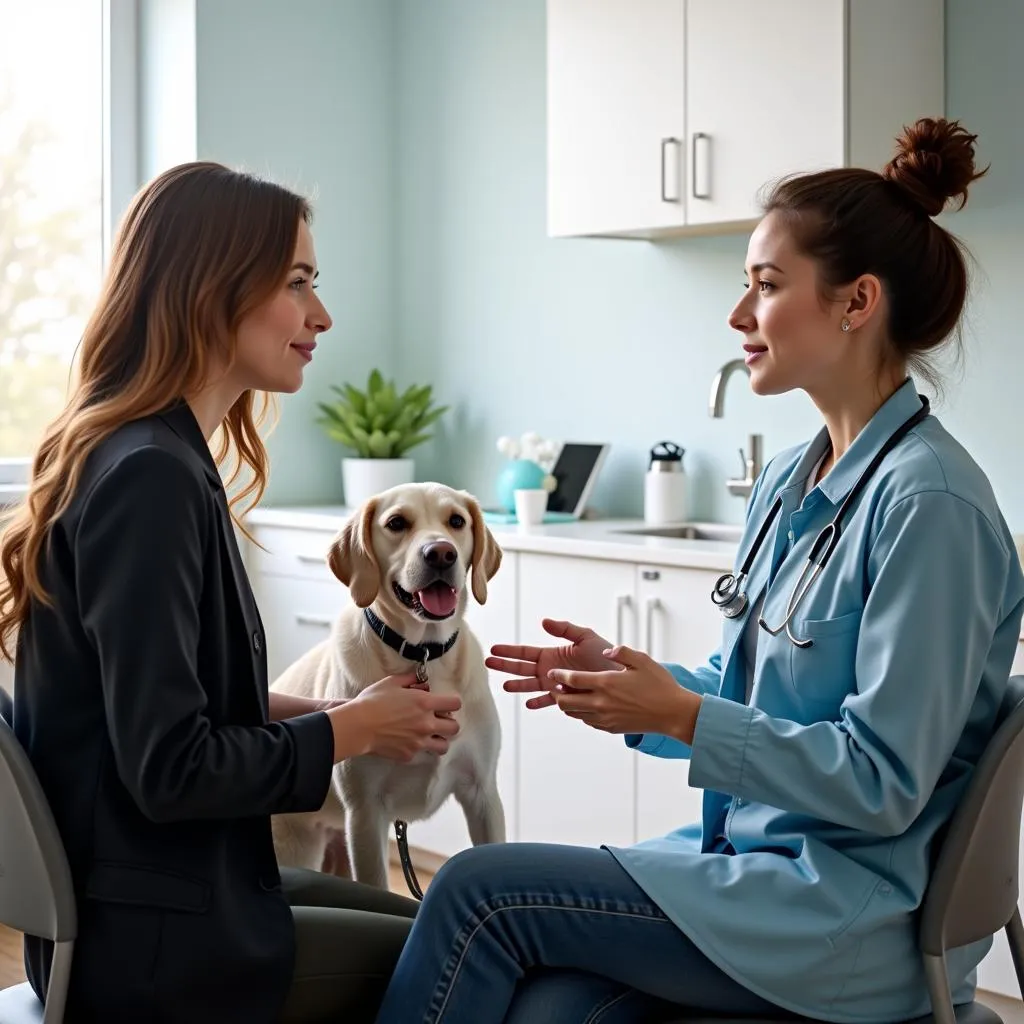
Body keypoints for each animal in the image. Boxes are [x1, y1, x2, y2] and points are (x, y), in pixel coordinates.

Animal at [270, 479, 505, 888]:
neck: (423, 654)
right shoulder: (366, 814)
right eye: (396, 523)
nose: (441, 553)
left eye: (456, 521)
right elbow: (377, 881)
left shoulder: (483, 794)